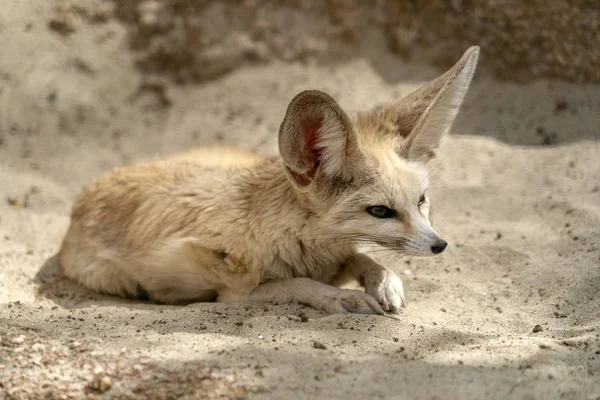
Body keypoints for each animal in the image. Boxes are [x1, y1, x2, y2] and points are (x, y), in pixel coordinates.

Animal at [56, 47, 478, 314]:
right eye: (380, 211)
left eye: (421, 200)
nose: (439, 245)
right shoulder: (230, 295)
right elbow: (295, 285)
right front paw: (341, 298)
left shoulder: (337, 254)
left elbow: (364, 257)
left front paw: (385, 281)